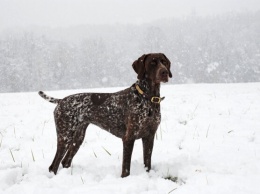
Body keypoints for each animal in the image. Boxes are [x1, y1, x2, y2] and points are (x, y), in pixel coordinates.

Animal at [38, 53, 172, 177]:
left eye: (164, 62)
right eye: (152, 63)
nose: (164, 72)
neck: (148, 98)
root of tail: (61, 100)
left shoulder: (149, 137)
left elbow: (147, 163)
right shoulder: (129, 138)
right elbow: (126, 168)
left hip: (78, 138)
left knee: (65, 161)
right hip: (65, 136)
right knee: (53, 165)